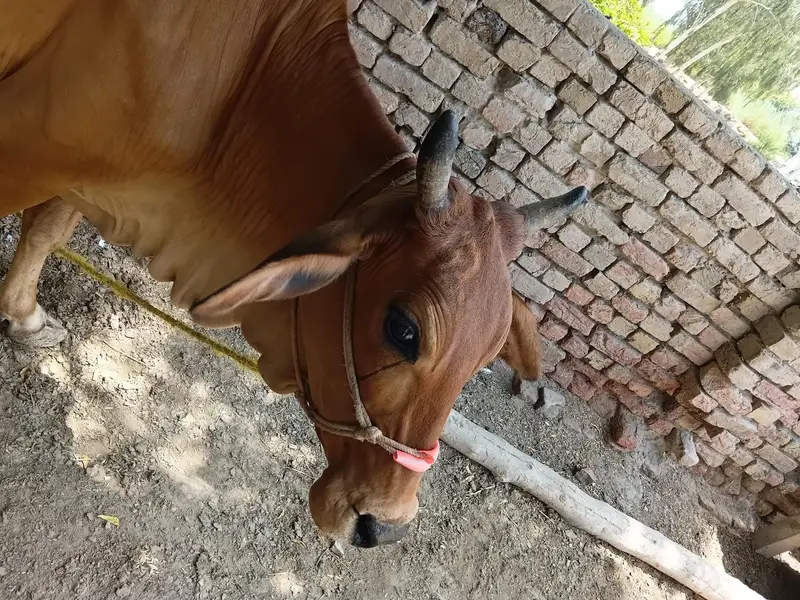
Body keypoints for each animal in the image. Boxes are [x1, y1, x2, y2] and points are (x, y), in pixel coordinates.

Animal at [0, 0, 588, 547]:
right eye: (403, 330)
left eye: (487, 359)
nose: (384, 528)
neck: (240, 84)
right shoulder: (31, 143)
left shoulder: (87, 172)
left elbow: (47, 229)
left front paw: (24, 318)